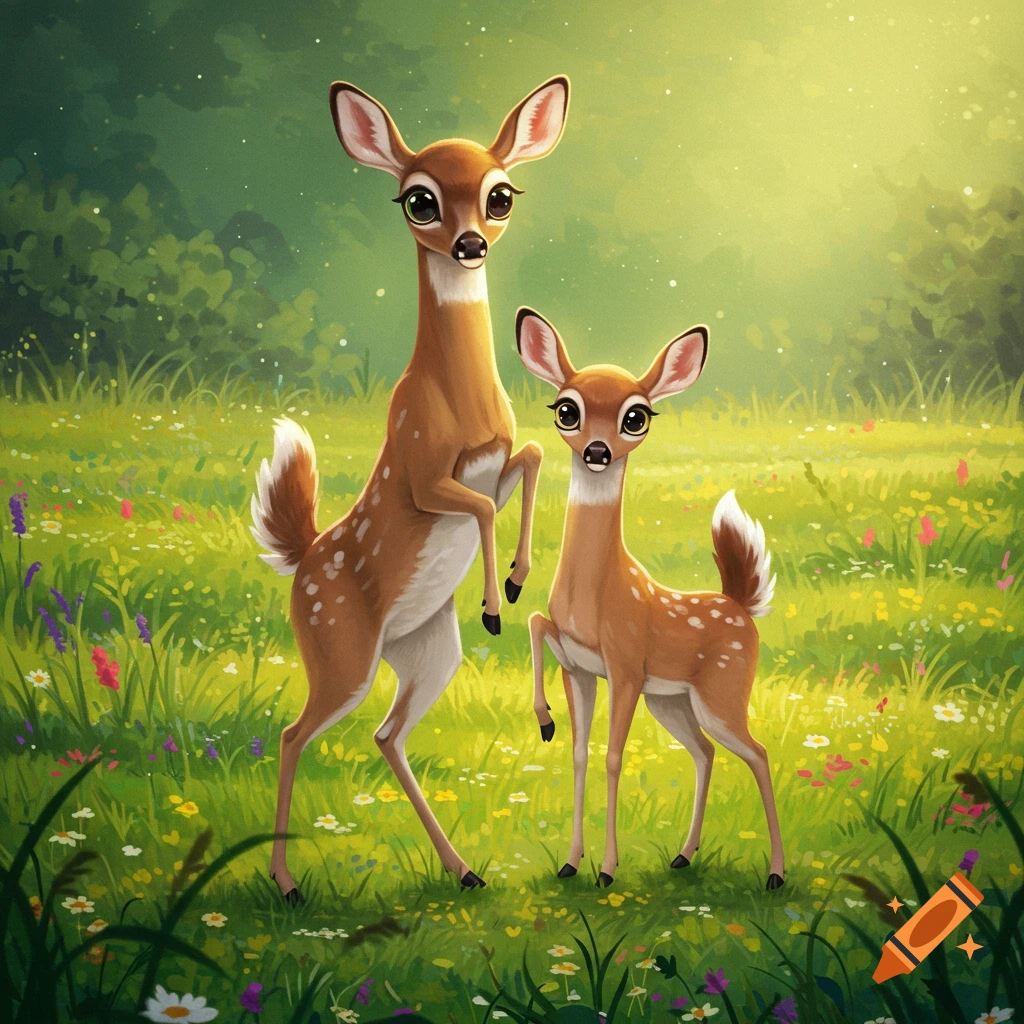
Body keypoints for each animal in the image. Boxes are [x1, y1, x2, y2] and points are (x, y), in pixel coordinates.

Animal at [249, 77, 570, 903]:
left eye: (500, 194)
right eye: (419, 200)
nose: (470, 244)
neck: (459, 398)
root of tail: (301, 562)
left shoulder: (495, 456)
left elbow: (530, 459)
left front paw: (517, 578)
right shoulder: (425, 478)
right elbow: (482, 504)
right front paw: (494, 602)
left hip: (425, 651)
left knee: (387, 734)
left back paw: (463, 870)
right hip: (338, 649)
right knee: (294, 734)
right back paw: (286, 881)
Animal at [515, 308, 785, 892]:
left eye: (636, 417)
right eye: (566, 409)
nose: (597, 451)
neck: (592, 597)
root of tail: (742, 605)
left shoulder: (626, 666)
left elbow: (614, 757)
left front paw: (606, 869)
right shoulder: (579, 665)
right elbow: (577, 749)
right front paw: (571, 861)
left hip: (722, 693)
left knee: (757, 752)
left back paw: (776, 873)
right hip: (673, 700)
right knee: (705, 751)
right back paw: (683, 856)